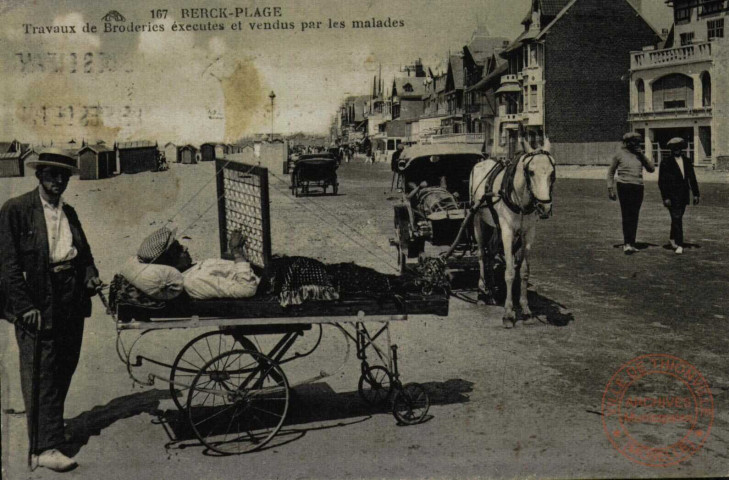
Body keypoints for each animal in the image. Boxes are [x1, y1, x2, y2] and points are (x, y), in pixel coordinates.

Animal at [470, 137, 556, 328]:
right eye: (531, 172)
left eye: (552, 173)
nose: (545, 207)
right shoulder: (508, 232)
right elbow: (509, 272)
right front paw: (508, 313)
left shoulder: (528, 232)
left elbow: (523, 270)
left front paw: (526, 310)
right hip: (478, 220)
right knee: (481, 255)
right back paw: (481, 293)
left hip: (496, 226)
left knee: (491, 251)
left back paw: (491, 292)